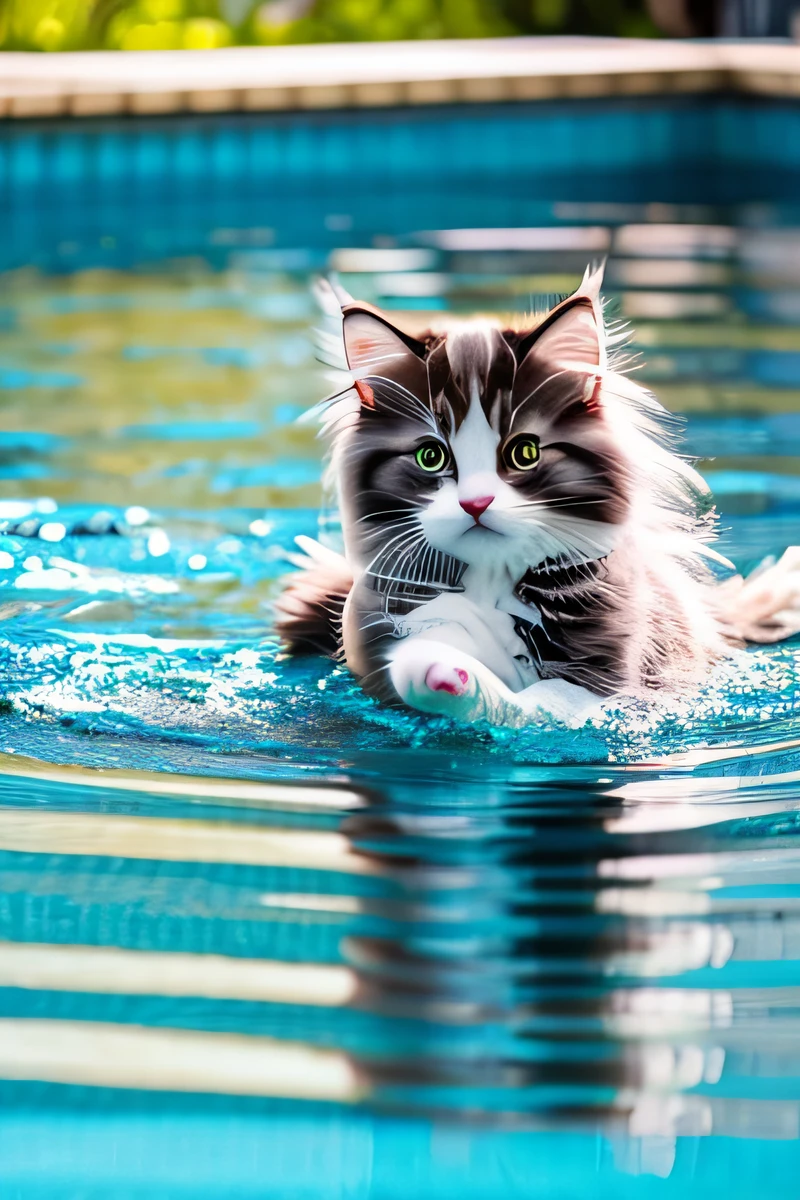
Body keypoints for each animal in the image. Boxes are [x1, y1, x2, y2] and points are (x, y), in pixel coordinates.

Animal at [275, 267, 800, 724]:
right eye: (430, 456)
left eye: (525, 452)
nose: (476, 504)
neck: (492, 581)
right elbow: (418, 654)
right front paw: (443, 675)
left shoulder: (614, 666)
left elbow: (550, 702)